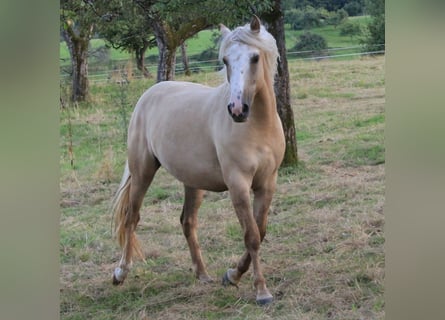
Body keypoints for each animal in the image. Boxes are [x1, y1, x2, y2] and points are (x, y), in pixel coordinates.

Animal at [111, 15, 284, 304]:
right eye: (225, 59)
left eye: (255, 57)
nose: (237, 110)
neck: (258, 128)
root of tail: (149, 94)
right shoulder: (238, 185)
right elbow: (251, 236)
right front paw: (261, 291)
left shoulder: (267, 183)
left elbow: (260, 232)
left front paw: (232, 276)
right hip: (143, 171)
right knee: (131, 217)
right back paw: (120, 273)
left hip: (193, 183)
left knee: (188, 222)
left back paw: (202, 274)